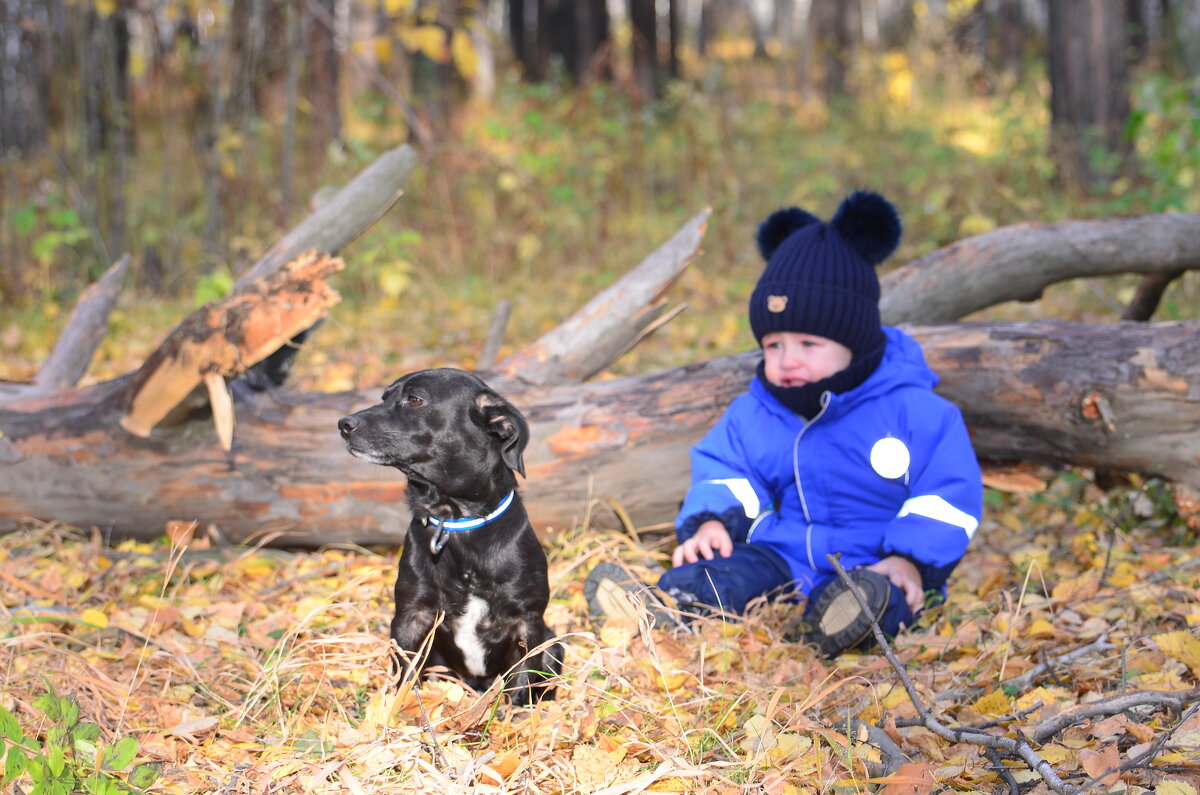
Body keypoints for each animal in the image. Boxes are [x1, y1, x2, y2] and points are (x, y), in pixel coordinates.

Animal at [338, 369, 561, 706]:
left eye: (415, 399)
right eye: (384, 397)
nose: (343, 424)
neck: (456, 519)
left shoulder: (528, 622)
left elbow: (520, 686)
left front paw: (515, 717)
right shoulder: (411, 617)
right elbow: (405, 674)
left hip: (553, 644)